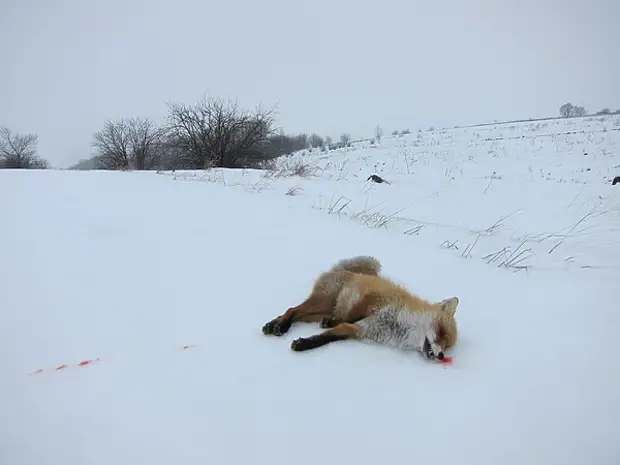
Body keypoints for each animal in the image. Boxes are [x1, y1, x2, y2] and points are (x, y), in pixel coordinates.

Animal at [262, 256, 460, 360]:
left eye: (447, 346)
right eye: (441, 332)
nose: (441, 356)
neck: (400, 326)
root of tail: (347, 269)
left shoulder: (361, 330)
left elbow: (329, 336)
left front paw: (305, 344)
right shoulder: (373, 300)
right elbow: (350, 315)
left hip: (318, 312)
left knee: (298, 313)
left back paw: (276, 325)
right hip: (323, 302)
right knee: (293, 310)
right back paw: (280, 326)